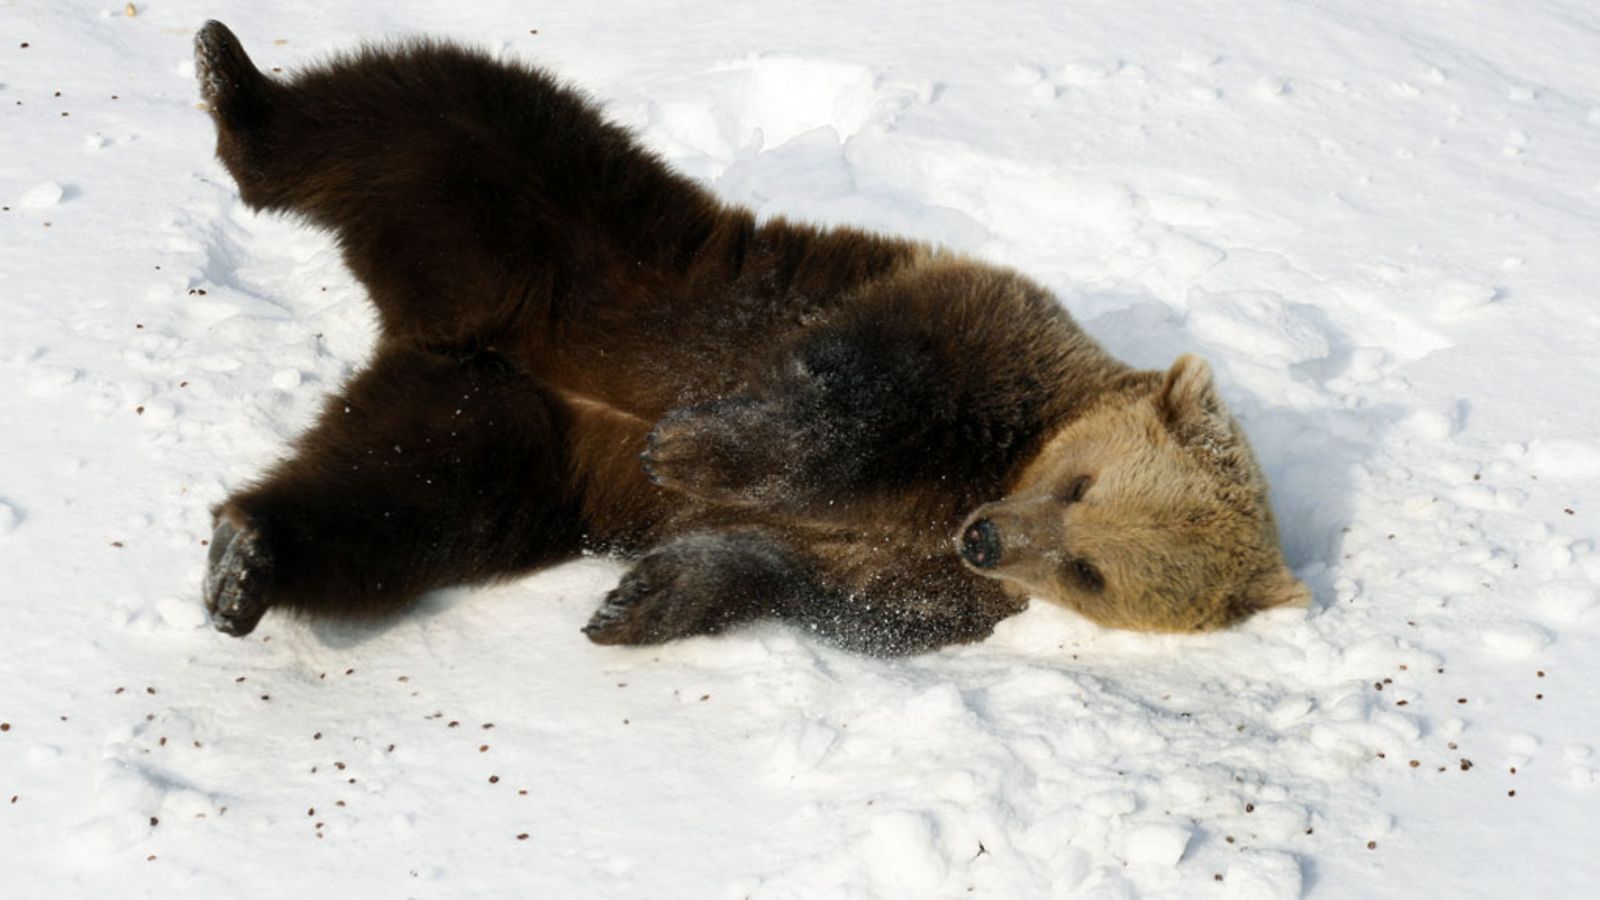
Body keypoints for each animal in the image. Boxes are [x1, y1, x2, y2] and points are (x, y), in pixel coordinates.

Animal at [193, 21, 1305, 650]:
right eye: (1082, 485)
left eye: (1092, 570)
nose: (988, 536)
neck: (990, 467)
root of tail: (441, 336)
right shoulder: (978, 331)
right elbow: (860, 395)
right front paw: (685, 448)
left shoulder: (934, 586)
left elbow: (808, 584)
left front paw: (639, 601)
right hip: (574, 248)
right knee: (438, 110)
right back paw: (234, 82)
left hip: (496, 435)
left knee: (391, 500)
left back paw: (248, 563)